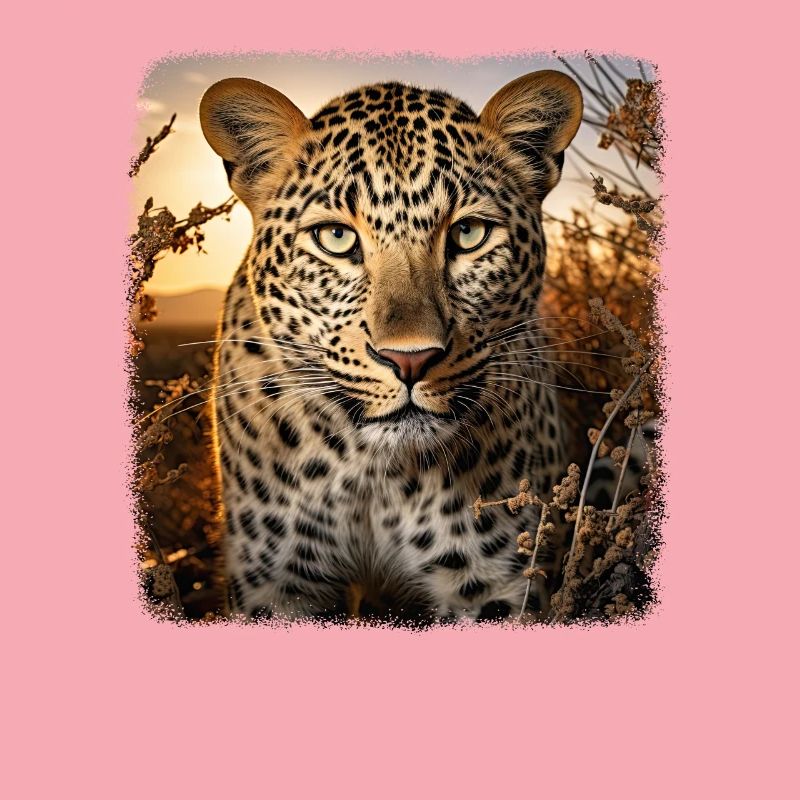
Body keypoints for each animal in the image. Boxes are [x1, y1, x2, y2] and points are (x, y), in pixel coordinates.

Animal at [199, 70, 583, 622]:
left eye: (469, 233)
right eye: (336, 238)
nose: (410, 359)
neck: (376, 477)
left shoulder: (494, 583)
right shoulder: (278, 583)